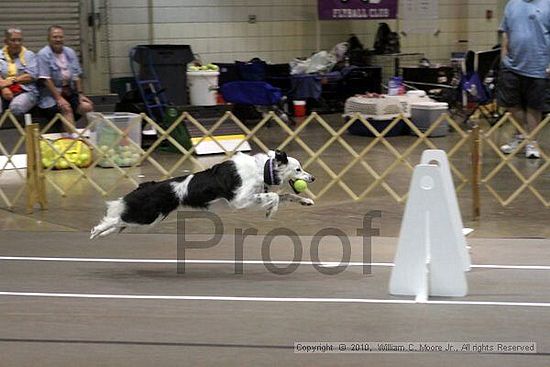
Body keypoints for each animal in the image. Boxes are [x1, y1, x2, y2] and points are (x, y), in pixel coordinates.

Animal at [89, 151, 316, 240]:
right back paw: (96, 230)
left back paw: (102, 233)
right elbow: (276, 197)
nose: (312, 178)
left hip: (150, 219)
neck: (262, 169)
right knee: (116, 218)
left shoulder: (252, 197)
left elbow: (286, 195)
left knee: (120, 221)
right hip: (149, 216)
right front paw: (271, 211)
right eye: (298, 169)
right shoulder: (240, 200)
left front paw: (306, 200)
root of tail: (146, 186)